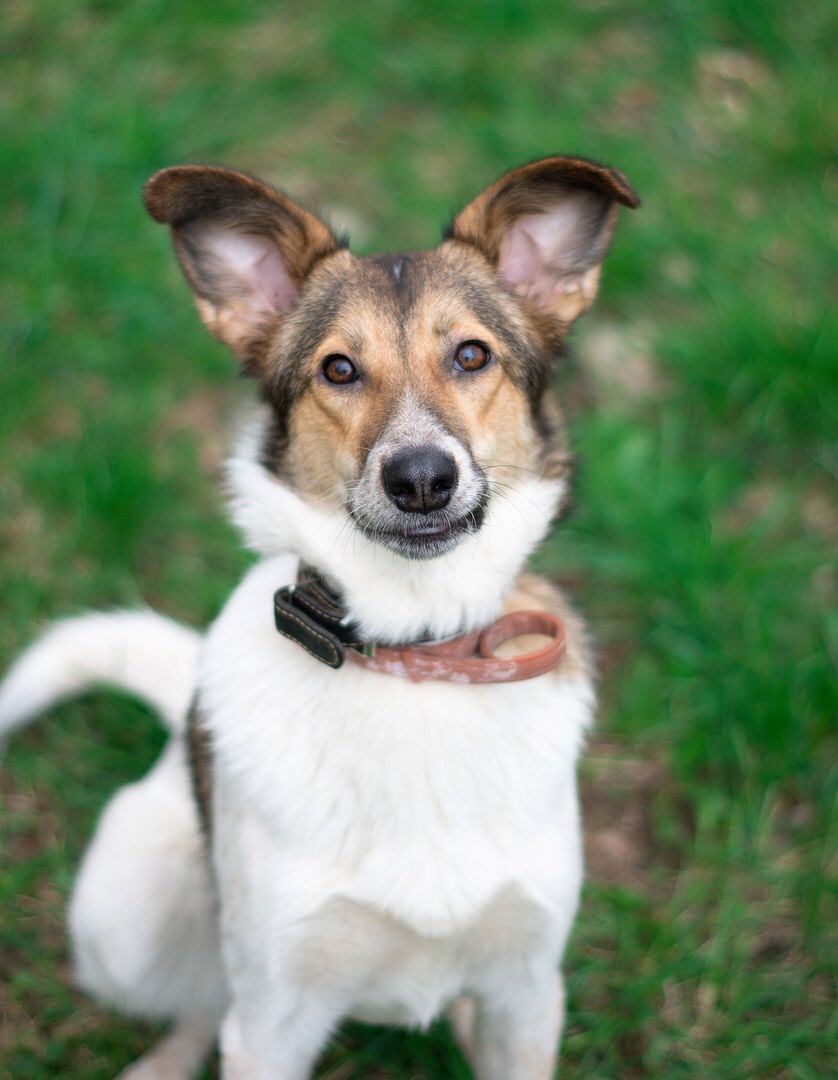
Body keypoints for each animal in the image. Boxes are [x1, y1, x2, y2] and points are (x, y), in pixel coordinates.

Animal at [0, 156, 639, 1075]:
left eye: (471, 355)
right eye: (338, 370)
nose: (421, 479)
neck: (412, 652)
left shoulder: (527, 993)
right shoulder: (275, 1017)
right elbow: (243, 1018)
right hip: (125, 912)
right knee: (203, 1006)